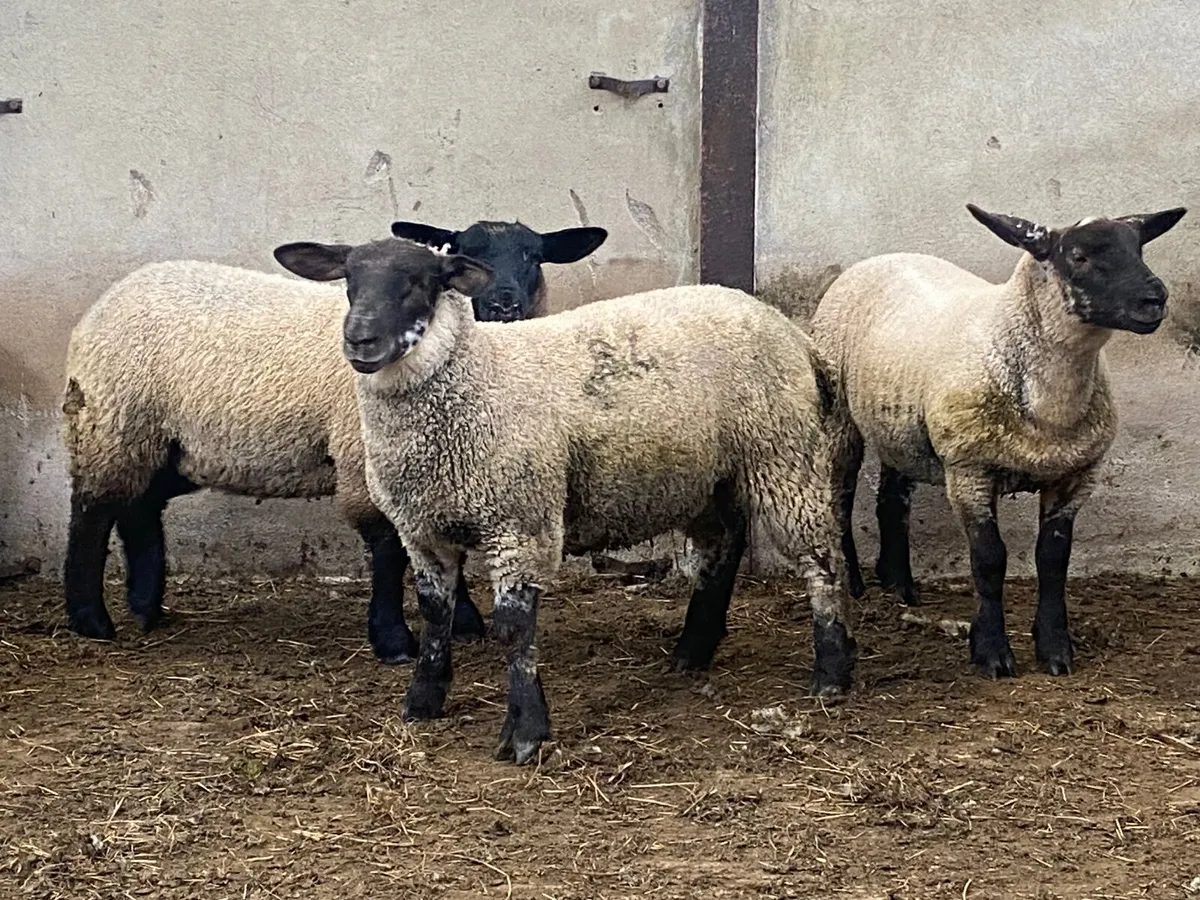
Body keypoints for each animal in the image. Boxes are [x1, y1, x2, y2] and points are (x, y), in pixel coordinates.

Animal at [60, 220, 608, 663]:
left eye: (534, 255)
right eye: (350, 280)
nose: (502, 304)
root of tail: (110, 297)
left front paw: (462, 621)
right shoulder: (364, 460)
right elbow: (389, 550)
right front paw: (393, 640)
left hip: (171, 445)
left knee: (138, 505)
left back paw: (145, 606)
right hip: (112, 421)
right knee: (93, 511)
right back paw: (92, 620)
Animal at [273, 235, 857, 765]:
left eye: (421, 281)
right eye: (350, 281)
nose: (360, 341)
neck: (474, 379)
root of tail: (790, 331)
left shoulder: (518, 518)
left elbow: (514, 629)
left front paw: (526, 732)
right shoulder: (422, 529)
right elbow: (435, 615)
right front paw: (423, 701)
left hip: (782, 452)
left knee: (821, 558)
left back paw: (832, 670)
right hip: (708, 473)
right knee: (724, 543)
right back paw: (693, 650)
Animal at [809, 203, 1187, 679]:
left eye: (1138, 249)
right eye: (1079, 256)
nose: (1155, 299)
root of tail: (882, 257)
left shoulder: (1075, 476)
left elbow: (1053, 561)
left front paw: (1055, 650)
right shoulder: (969, 470)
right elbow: (989, 561)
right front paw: (991, 652)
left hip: (901, 423)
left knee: (893, 499)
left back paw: (900, 585)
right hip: (839, 415)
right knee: (839, 497)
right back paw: (856, 582)